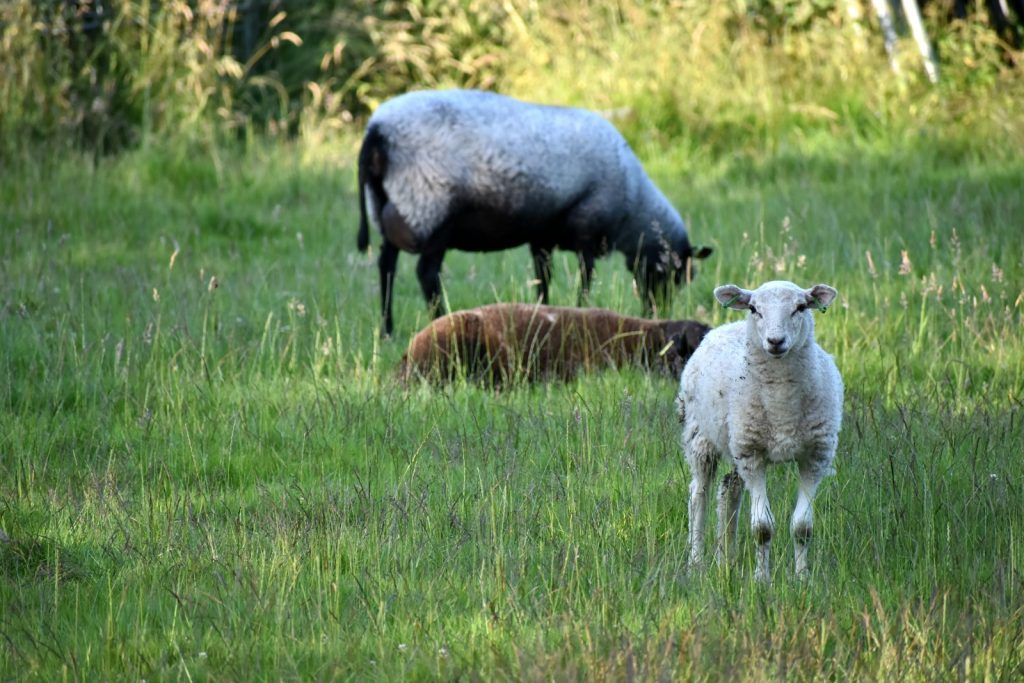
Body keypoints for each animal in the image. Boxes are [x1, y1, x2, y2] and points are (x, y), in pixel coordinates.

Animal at [358, 90, 712, 335]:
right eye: (671, 272)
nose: (657, 312)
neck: (633, 207)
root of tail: (377, 130)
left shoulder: (542, 236)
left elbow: (544, 277)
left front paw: (543, 310)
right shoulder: (587, 229)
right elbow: (585, 280)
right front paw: (581, 309)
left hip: (390, 209)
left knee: (386, 266)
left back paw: (387, 329)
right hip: (431, 208)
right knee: (426, 273)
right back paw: (438, 318)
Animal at [675, 278, 843, 581]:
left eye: (801, 307)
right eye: (754, 308)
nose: (775, 341)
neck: (781, 406)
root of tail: (726, 325)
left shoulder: (815, 457)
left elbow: (803, 526)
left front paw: (802, 579)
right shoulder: (754, 457)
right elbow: (762, 527)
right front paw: (762, 580)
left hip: (736, 441)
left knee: (728, 490)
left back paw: (725, 560)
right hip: (702, 437)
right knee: (698, 495)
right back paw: (696, 562)